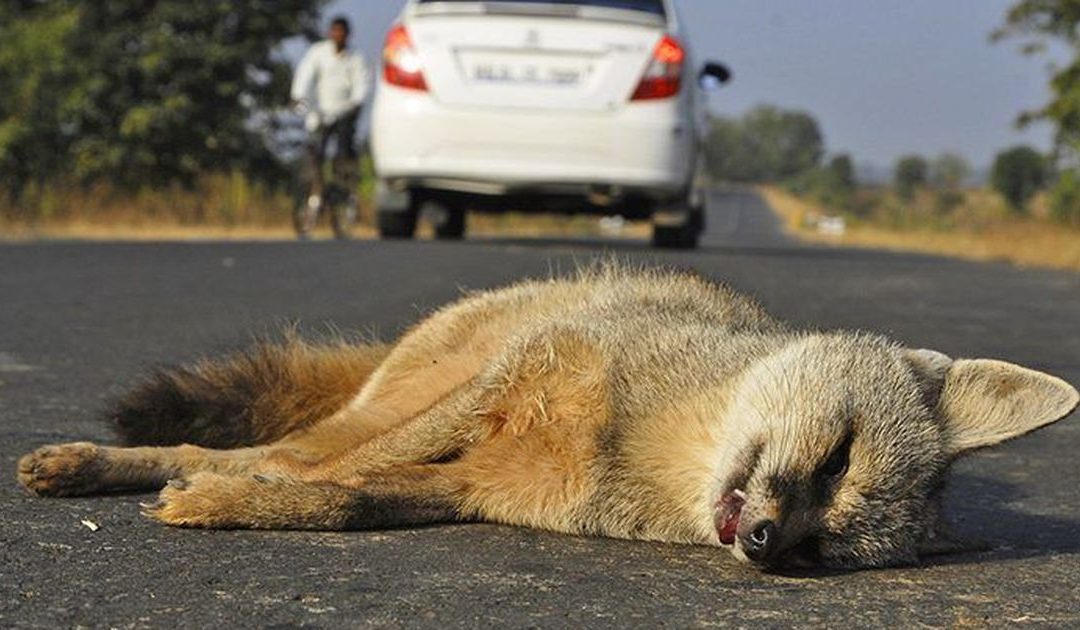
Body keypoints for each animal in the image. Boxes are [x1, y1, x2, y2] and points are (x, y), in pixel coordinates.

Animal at [16, 263, 1080, 570]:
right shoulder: (506, 383)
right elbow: (317, 474)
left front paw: (241, 505)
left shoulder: (471, 490)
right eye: (835, 460)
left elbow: (346, 503)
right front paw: (241, 490)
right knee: (268, 438)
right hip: (418, 384)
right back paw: (96, 463)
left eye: (824, 550)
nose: (767, 543)